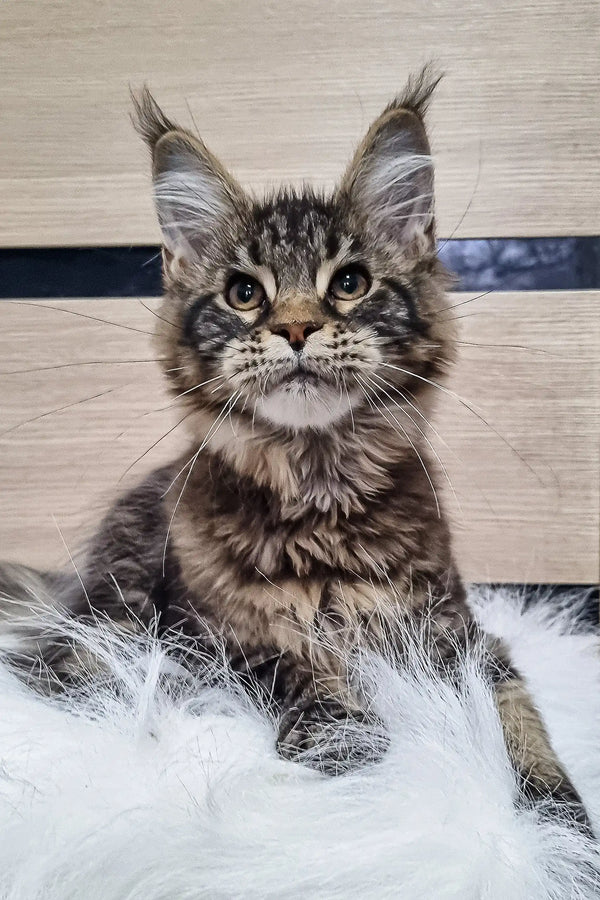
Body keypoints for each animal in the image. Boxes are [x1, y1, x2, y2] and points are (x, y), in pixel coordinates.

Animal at [0, 70, 592, 828]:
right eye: (244, 293)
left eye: (349, 283)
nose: (297, 329)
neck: (318, 486)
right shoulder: (207, 631)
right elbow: (290, 663)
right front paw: (346, 732)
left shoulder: (454, 631)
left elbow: (515, 711)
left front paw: (558, 819)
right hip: (120, 612)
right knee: (77, 671)